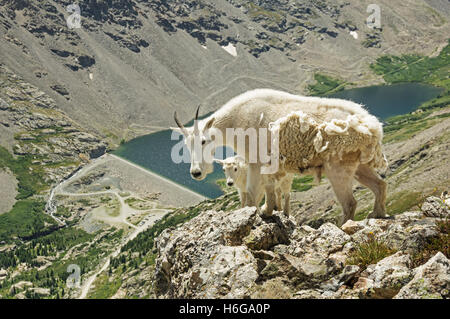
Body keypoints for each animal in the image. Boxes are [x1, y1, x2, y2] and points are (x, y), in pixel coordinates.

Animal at [172, 89, 386, 224]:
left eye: (203, 141)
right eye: (186, 144)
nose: (196, 173)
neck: (236, 120)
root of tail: (372, 126)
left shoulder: (255, 161)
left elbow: (252, 194)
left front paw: (255, 216)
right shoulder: (266, 164)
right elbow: (269, 189)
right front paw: (268, 211)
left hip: (338, 167)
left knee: (350, 203)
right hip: (359, 165)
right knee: (379, 184)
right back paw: (377, 214)